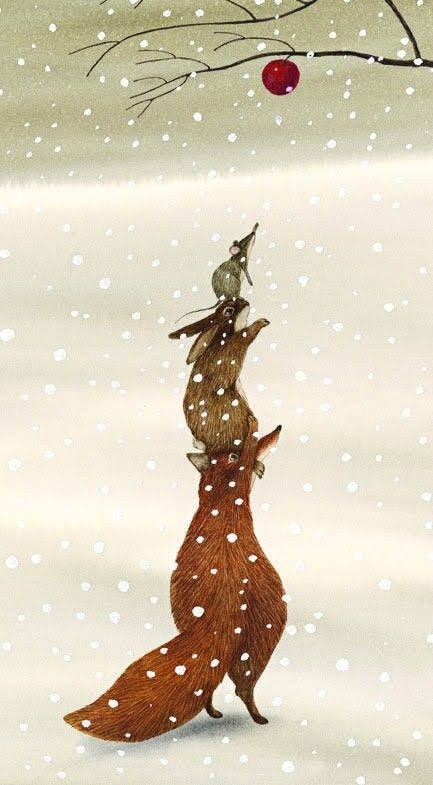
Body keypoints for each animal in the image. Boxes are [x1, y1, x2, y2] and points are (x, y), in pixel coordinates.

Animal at [63, 416, 286, 742]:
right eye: (231, 455)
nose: (269, 429)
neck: (221, 510)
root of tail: (225, 608)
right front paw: (254, 428)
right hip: (261, 642)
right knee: (240, 688)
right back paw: (253, 718)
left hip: (242, 642)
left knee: (221, 686)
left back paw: (220, 713)